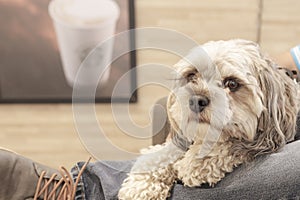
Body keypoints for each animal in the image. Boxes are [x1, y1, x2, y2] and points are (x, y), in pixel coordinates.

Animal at [118, 39, 300, 200]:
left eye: (232, 84)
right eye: (192, 75)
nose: (196, 100)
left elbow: (230, 144)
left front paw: (196, 161)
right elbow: (162, 154)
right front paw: (140, 185)